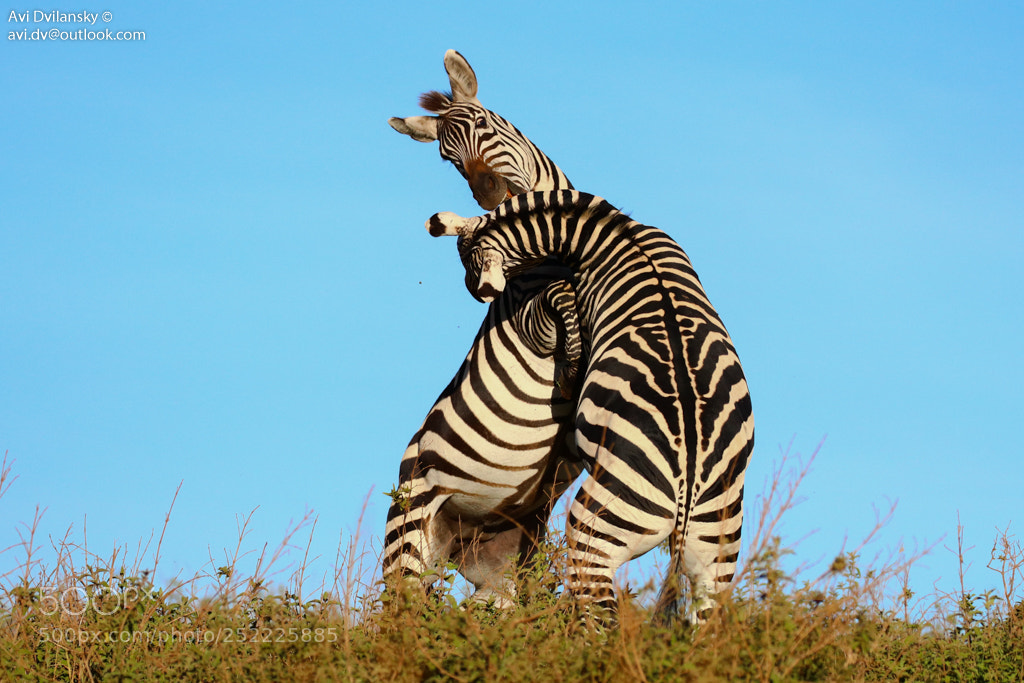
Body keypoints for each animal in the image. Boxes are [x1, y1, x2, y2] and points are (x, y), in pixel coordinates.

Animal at [382, 50, 584, 606]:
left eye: (485, 127)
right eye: (448, 159)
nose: (488, 192)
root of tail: (464, 541)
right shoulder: (532, 321)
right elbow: (559, 300)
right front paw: (574, 367)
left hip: (503, 569)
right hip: (409, 539)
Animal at [427, 190, 755, 623]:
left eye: (467, 258)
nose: (477, 292)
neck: (615, 233)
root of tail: (687, 489)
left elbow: (563, 303)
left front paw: (569, 372)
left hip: (598, 526)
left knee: (598, 616)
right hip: (716, 544)